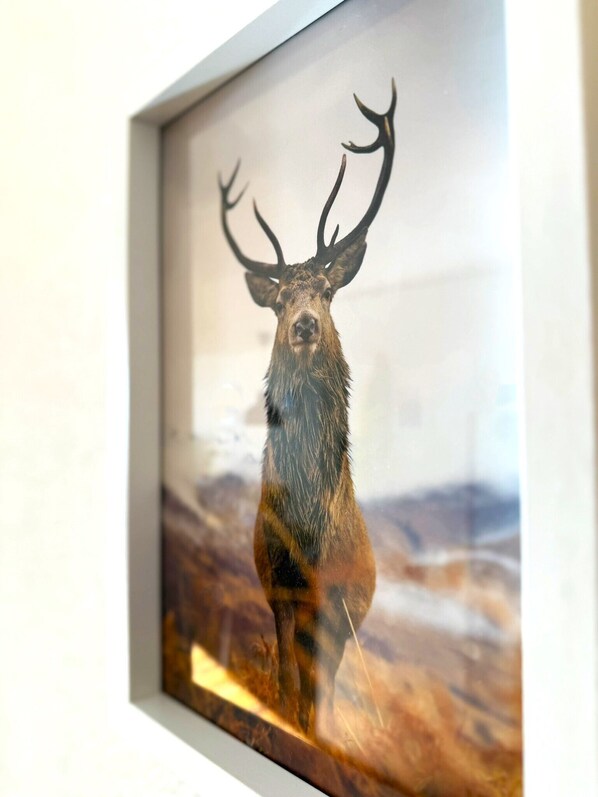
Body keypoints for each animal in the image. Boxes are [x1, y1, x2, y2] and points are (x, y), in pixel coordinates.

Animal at [219, 80, 396, 739]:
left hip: (349, 618)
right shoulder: (278, 583)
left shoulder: (332, 600)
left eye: (325, 291)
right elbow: (288, 678)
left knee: (331, 675)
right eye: (278, 301)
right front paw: (283, 713)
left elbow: (315, 685)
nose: (303, 323)